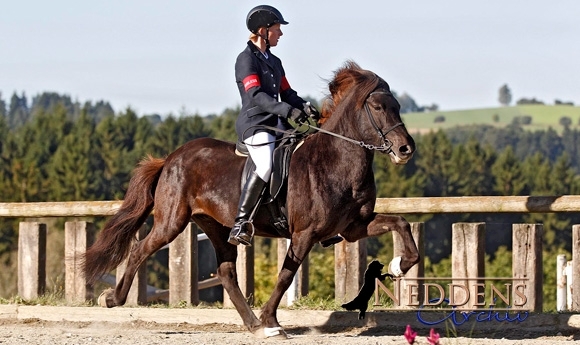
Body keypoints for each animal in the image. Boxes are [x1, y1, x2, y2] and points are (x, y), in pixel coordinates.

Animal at [81, 60, 420, 338]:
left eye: (397, 105)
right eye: (377, 107)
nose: (406, 149)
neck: (336, 161)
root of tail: (171, 158)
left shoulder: (352, 227)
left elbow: (401, 223)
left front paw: (400, 265)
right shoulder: (304, 233)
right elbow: (285, 275)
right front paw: (271, 320)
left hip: (216, 226)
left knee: (227, 273)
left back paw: (253, 324)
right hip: (172, 221)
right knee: (140, 249)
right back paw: (111, 298)